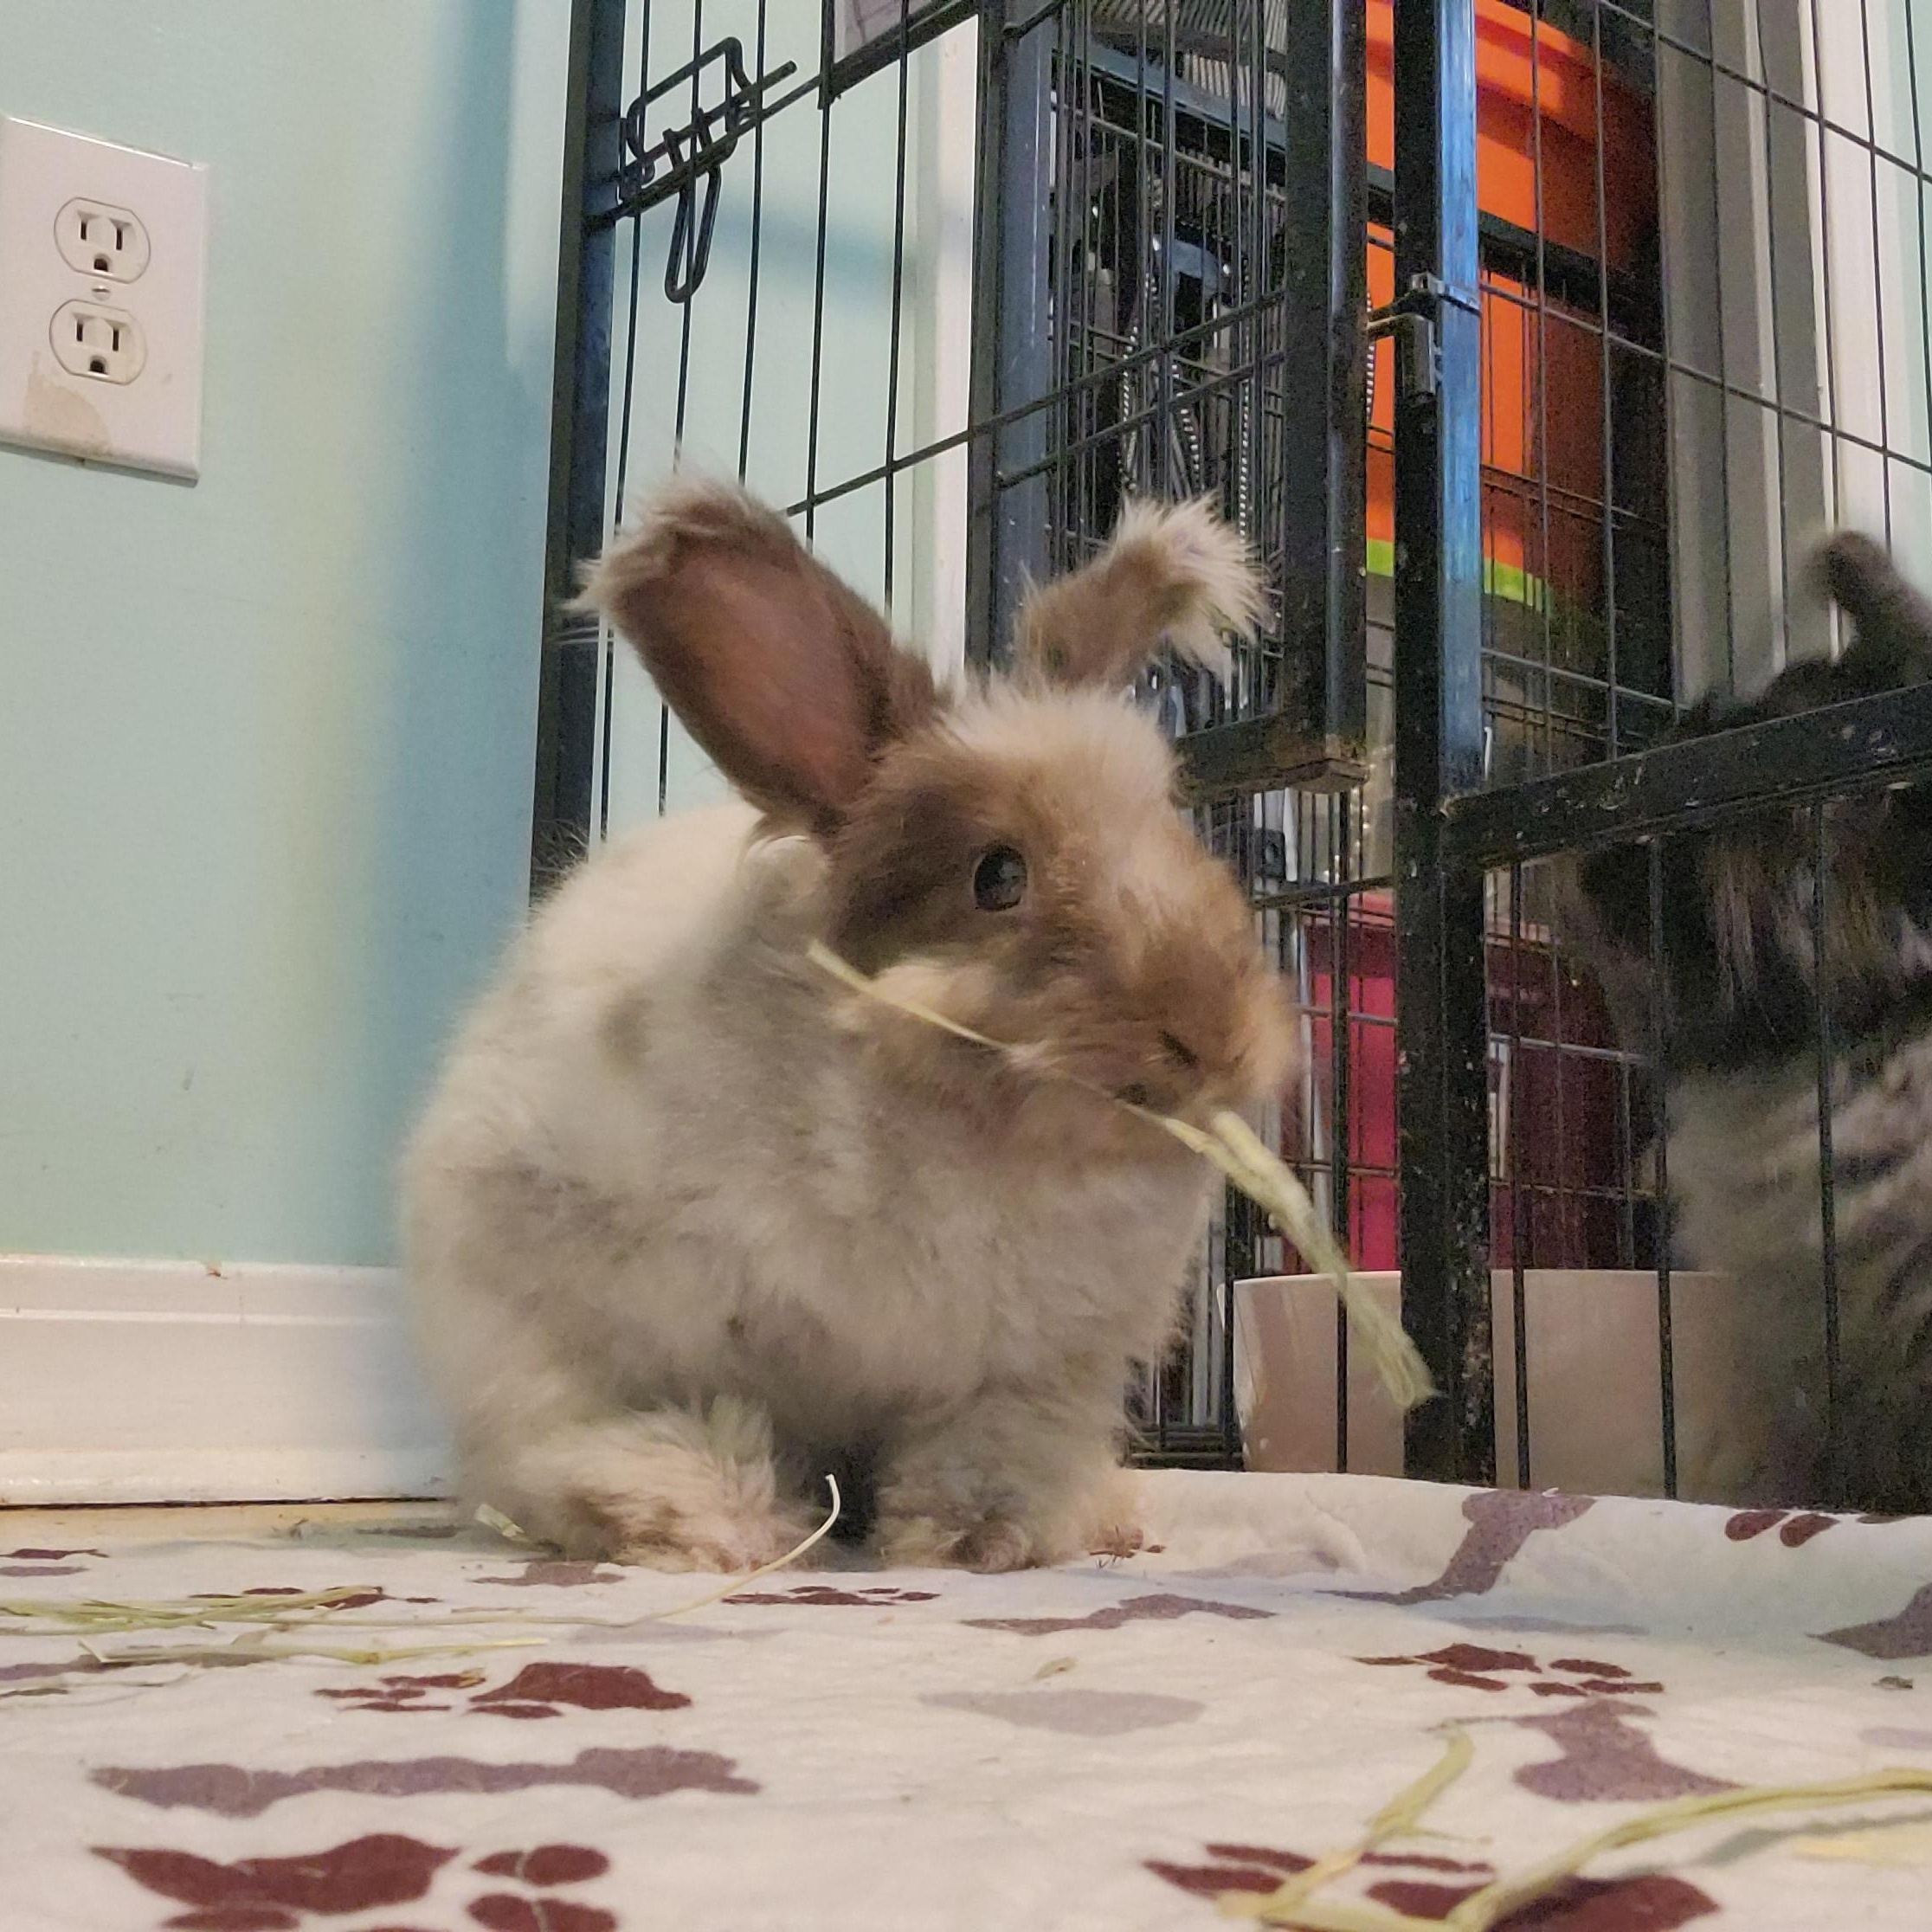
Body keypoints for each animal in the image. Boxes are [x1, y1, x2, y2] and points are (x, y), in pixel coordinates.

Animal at [403, 480, 1294, 1572]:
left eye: (1174, 828)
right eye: (997, 875)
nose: (1219, 1041)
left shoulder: (1029, 1376)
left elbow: (987, 1458)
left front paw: (977, 1539)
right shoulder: (604, 1319)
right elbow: (623, 1423)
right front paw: (712, 1519)